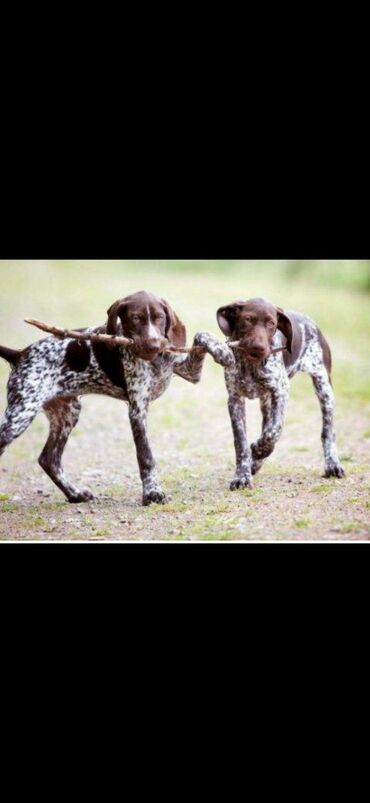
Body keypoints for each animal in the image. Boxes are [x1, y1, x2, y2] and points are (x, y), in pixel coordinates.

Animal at [0, 288, 231, 506]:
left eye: (160, 317)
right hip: (21, 413)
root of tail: (20, 354)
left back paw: (75, 494)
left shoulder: (190, 371)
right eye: (135, 318)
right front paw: (152, 493)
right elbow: (146, 456)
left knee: (49, 459)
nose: (153, 345)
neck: (156, 361)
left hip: (67, 413)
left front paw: (223, 351)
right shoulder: (137, 409)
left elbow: (201, 334)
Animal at [212, 296, 346, 490]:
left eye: (271, 323)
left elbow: (273, 430)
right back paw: (256, 462)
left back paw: (332, 464)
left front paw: (259, 449)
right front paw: (242, 475)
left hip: (324, 387)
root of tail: (309, 321)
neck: (251, 365)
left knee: (328, 431)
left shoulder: (281, 391)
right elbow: (241, 442)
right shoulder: (235, 400)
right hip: (267, 401)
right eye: (247, 319)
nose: (258, 348)